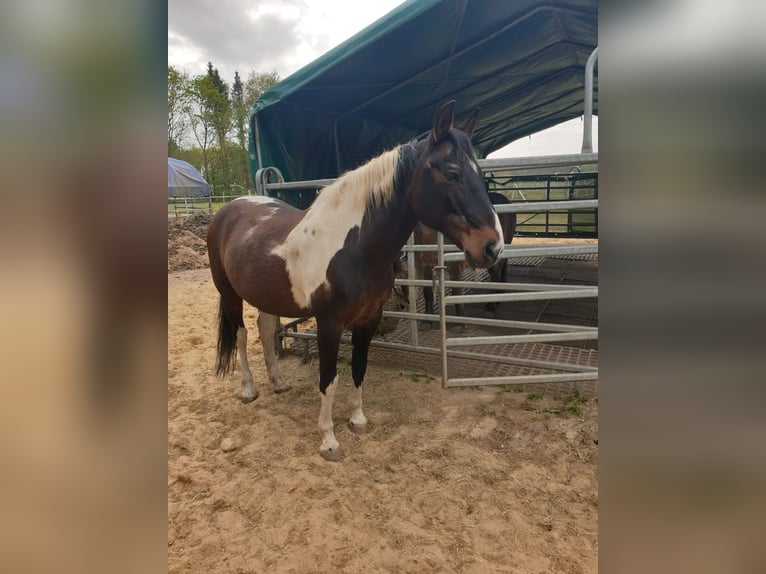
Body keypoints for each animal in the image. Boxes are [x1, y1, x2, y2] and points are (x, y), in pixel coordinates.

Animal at [206, 100, 504, 461]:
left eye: (480, 175)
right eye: (451, 173)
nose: (492, 247)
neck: (354, 248)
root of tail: (229, 209)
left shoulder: (369, 319)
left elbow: (359, 368)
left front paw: (358, 420)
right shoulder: (329, 324)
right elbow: (329, 378)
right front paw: (328, 440)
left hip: (266, 294)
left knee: (264, 330)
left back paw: (278, 383)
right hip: (229, 293)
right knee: (240, 334)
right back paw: (248, 389)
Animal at [412, 192, 517, 326]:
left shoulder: (455, 264)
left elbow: (456, 290)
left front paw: (459, 321)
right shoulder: (426, 265)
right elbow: (427, 291)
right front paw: (427, 320)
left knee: (495, 276)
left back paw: (490, 308)